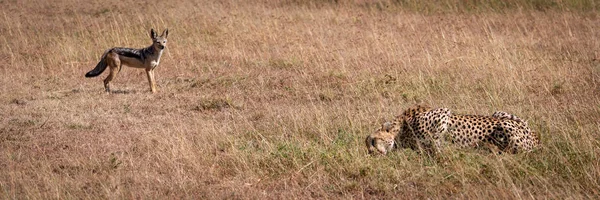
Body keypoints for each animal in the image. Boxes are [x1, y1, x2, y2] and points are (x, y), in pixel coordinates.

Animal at [366, 104, 540, 155]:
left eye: (373, 141)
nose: (372, 153)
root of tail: (537, 138)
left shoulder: (443, 113)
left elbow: (436, 142)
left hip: (506, 125)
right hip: (498, 113)